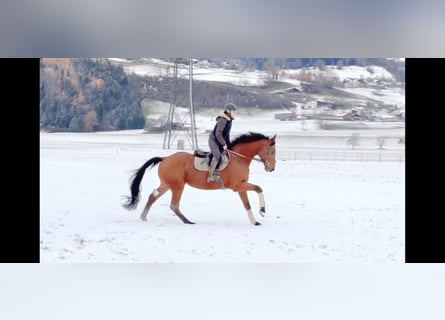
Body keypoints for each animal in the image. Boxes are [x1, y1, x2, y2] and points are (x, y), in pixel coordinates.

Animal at [121, 132, 274, 225]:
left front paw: (255, 221)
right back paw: (187, 221)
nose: (272, 168)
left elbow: (247, 204)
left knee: (153, 196)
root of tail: (164, 158)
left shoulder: (241, 186)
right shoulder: (237, 186)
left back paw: (144, 216)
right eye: (269, 151)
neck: (239, 158)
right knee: (174, 204)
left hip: (167, 184)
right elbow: (259, 188)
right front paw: (263, 210)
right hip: (178, 186)